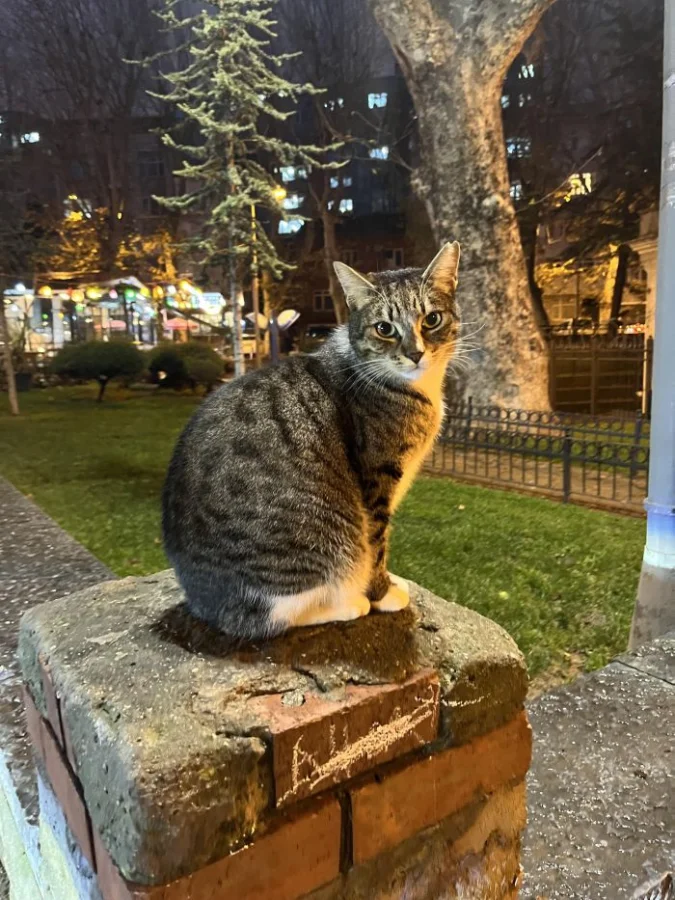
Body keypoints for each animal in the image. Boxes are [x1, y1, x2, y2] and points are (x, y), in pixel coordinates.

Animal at [162, 241, 461, 641]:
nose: (415, 353)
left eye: (431, 320)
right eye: (384, 328)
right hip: (319, 544)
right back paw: (349, 603)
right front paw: (382, 592)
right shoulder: (377, 484)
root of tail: (206, 605)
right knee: (272, 616)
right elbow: (377, 544)